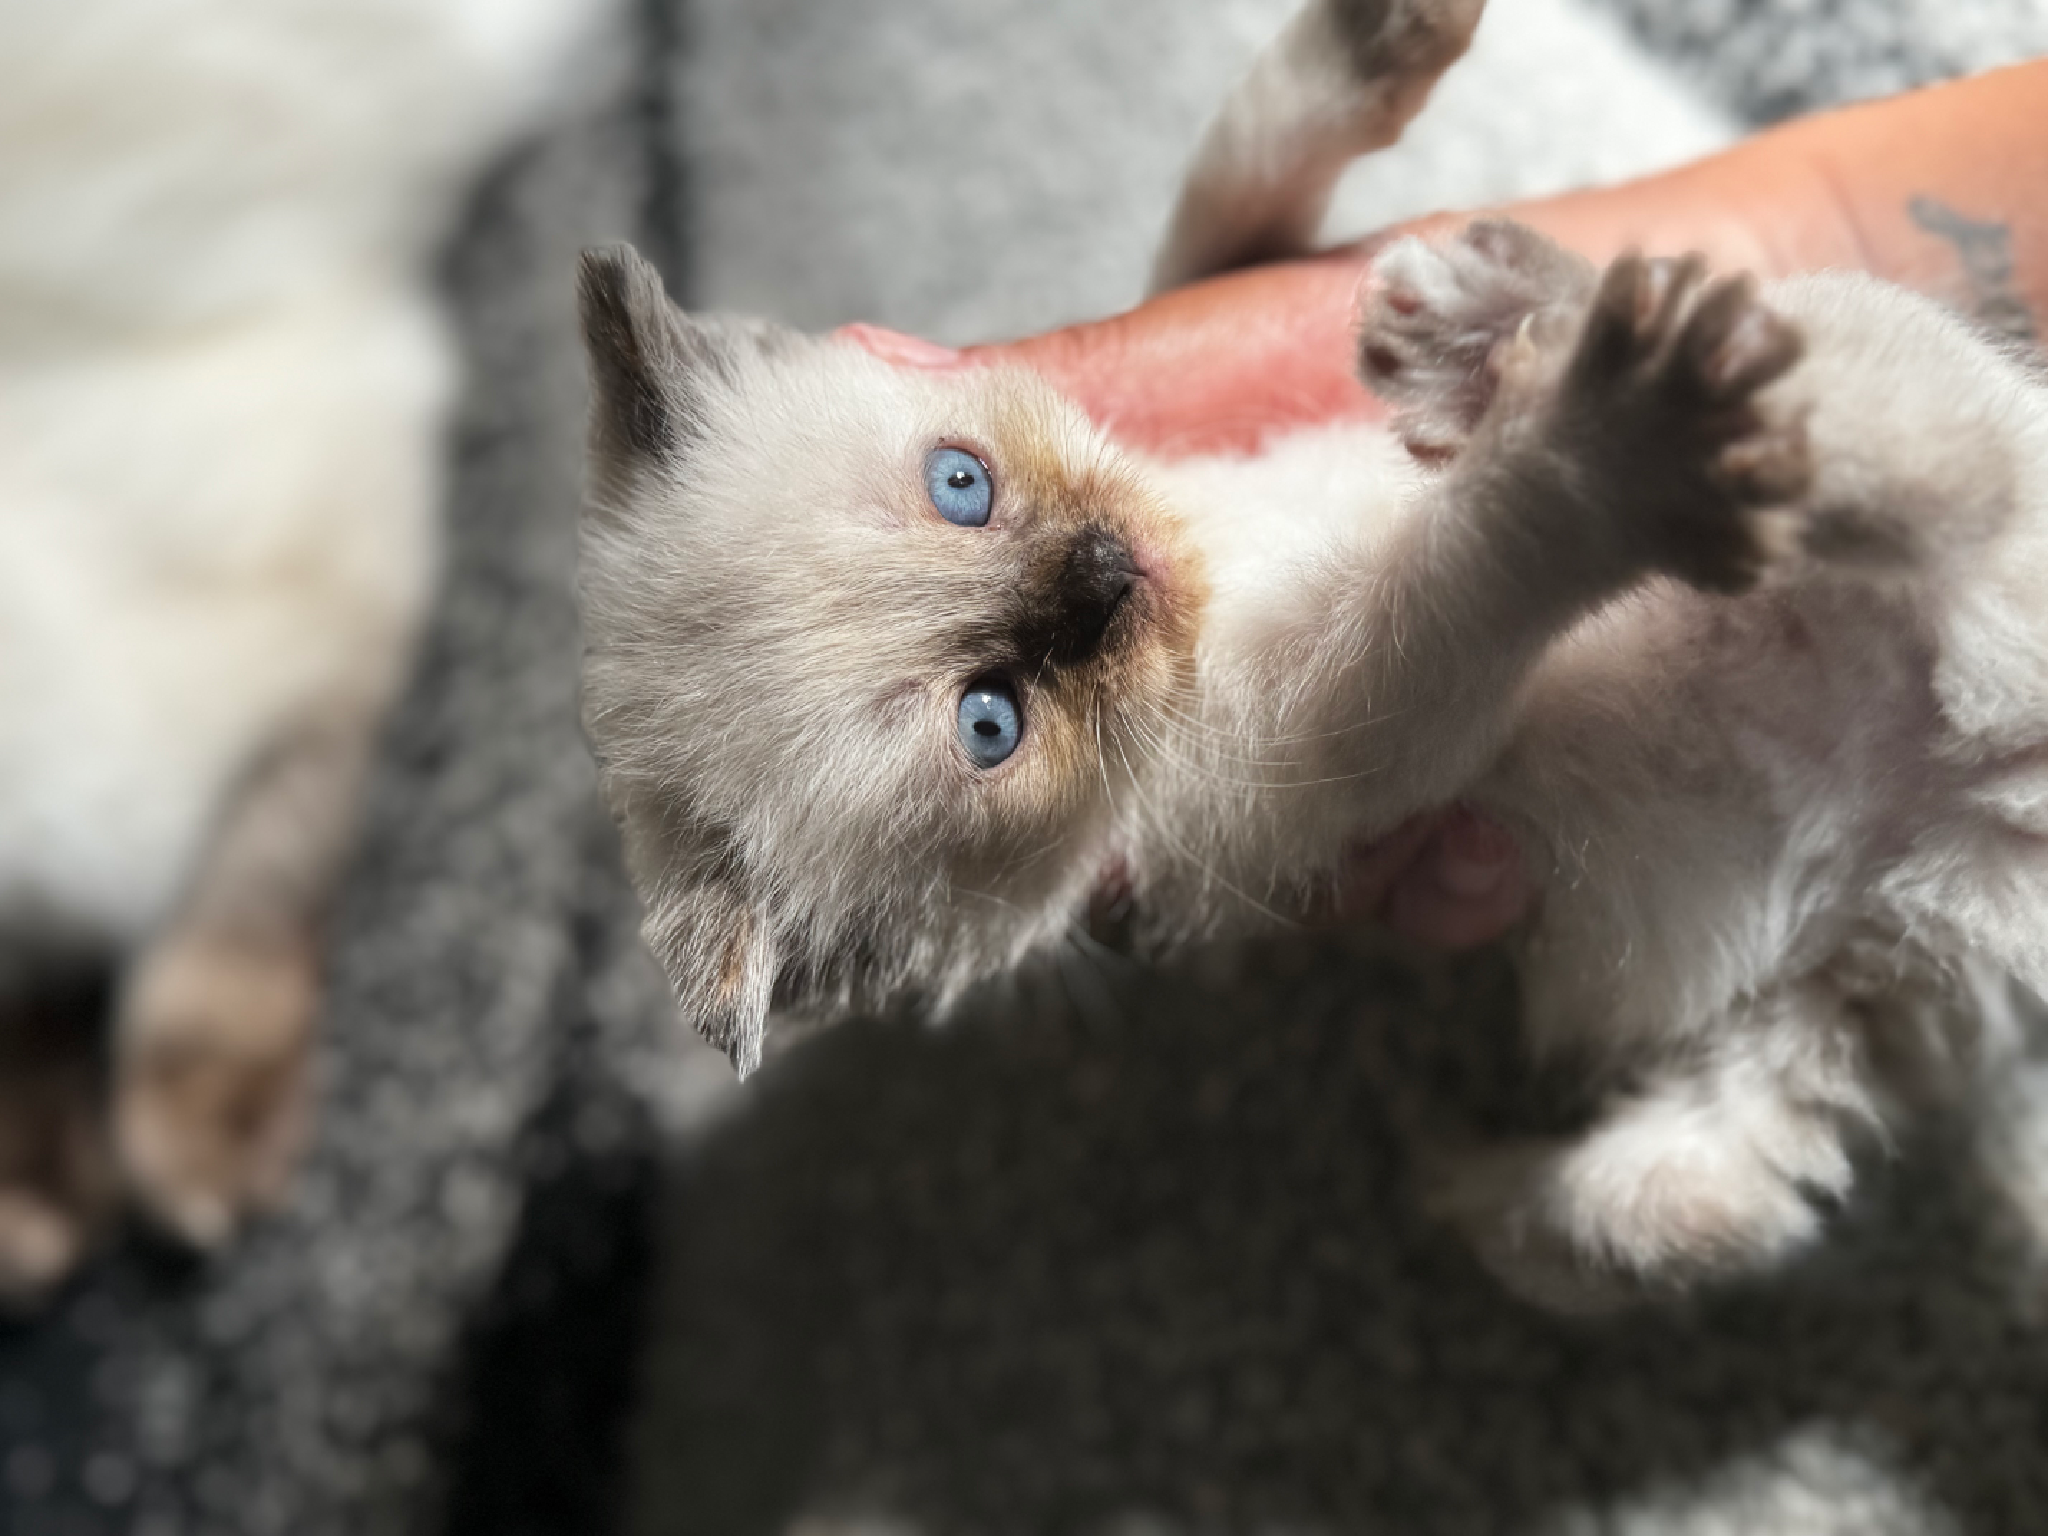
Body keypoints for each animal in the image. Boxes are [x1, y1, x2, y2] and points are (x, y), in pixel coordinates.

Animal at [573, 0, 2048, 1310]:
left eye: (961, 486)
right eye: (989, 722)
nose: (1103, 578)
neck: (1214, 578)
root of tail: (1987, 799)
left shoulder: (1193, 342)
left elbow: (1238, 184)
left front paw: (1389, 39)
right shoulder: (1317, 751)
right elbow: (1479, 548)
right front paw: (1591, 455)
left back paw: (1490, 323)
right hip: (1820, 1004)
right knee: (1678, 1210)